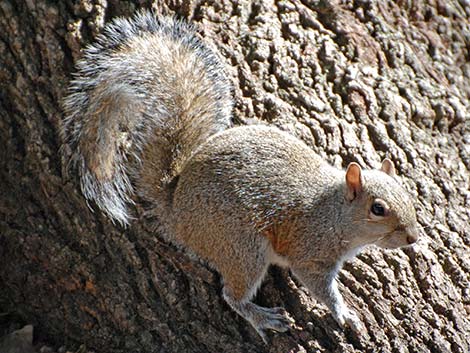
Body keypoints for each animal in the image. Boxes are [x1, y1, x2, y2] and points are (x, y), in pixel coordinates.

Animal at [61, 10, 418, 340]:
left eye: (407, 193)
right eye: (378, 209)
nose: (413, 238)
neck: (334, 212)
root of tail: (176, 212)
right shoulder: (310, 251)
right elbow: (320, 288)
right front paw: (344, 314)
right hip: (241, 248)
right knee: (231, 295)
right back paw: (262, 317)